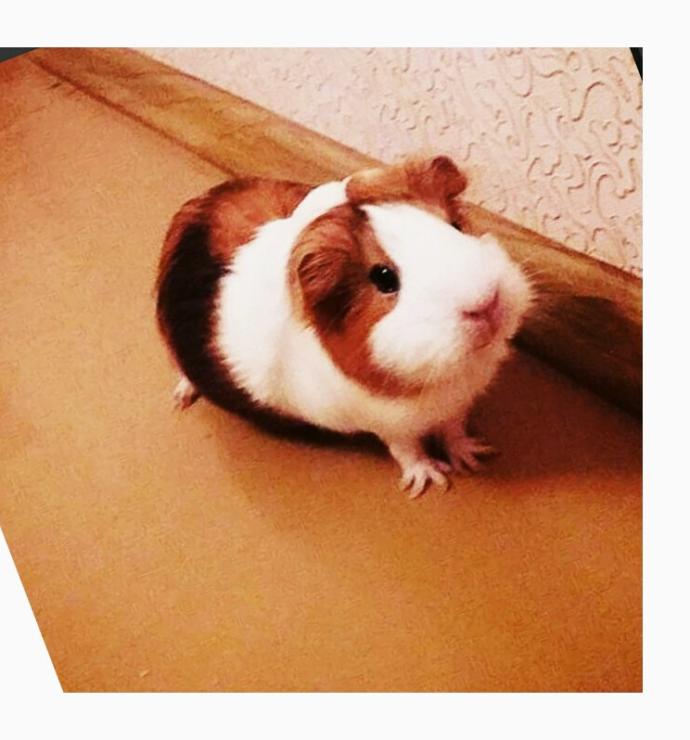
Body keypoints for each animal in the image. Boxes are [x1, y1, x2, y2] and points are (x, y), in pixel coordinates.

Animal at [156, 156, 533, 498]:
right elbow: (408, 450)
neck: (452, 377)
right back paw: (181, 399)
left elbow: (454, 431)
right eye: (384, 278)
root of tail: (197, 206)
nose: (487, 302)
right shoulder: (391, 424)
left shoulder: (457, 406)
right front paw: (432, 480)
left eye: (455, 226)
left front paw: (474, 456)